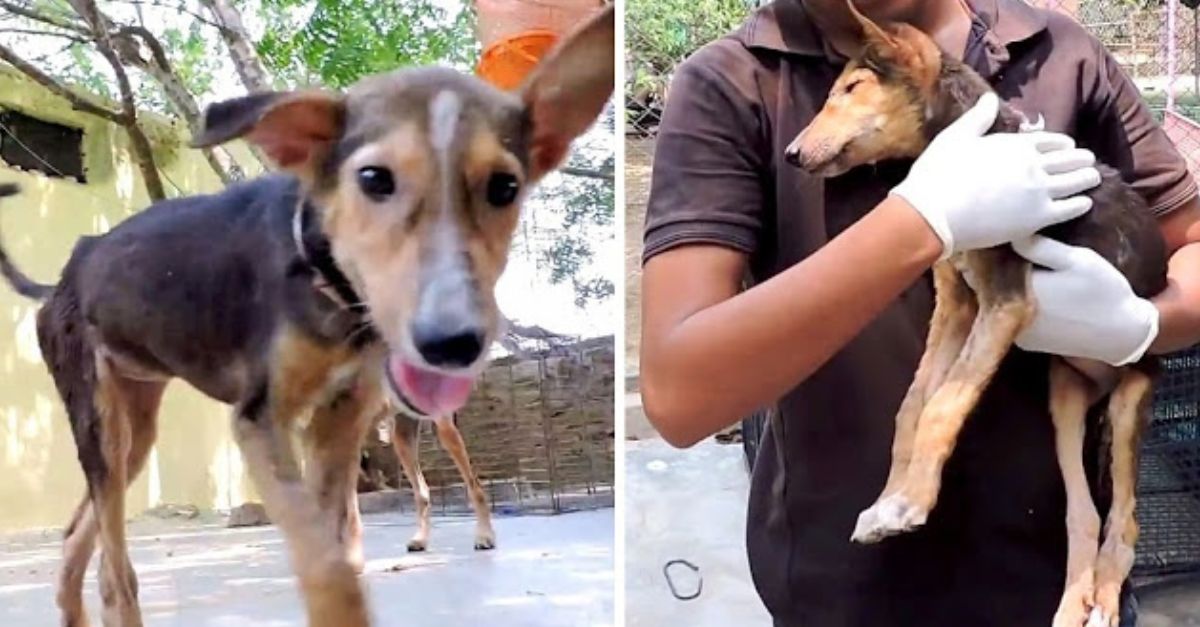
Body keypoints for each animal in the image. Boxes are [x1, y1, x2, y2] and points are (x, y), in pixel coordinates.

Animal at [0, 6, 614, 624]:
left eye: (505, 187)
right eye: (373, 179)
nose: (453, 344)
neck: (325, 282)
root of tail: (65, 276)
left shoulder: (339, 421)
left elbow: (335, 540)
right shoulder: (259, 419)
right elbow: (324, 562)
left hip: (137, 425)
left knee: (78, 534)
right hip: (101, 423)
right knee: (114, 571)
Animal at [782, 4, 1166, 624]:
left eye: (854, 87)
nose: (792, 154)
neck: (973, 140)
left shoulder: (1004, 303)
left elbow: (943, 404)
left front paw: (909, 504)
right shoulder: (957, 304)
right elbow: (913, 405)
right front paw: (888, 502)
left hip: (1131, 398)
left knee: (1123, 520)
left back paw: (1104, 602)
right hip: (1064, 398)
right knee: (1082, 515)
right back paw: (1071, 605)